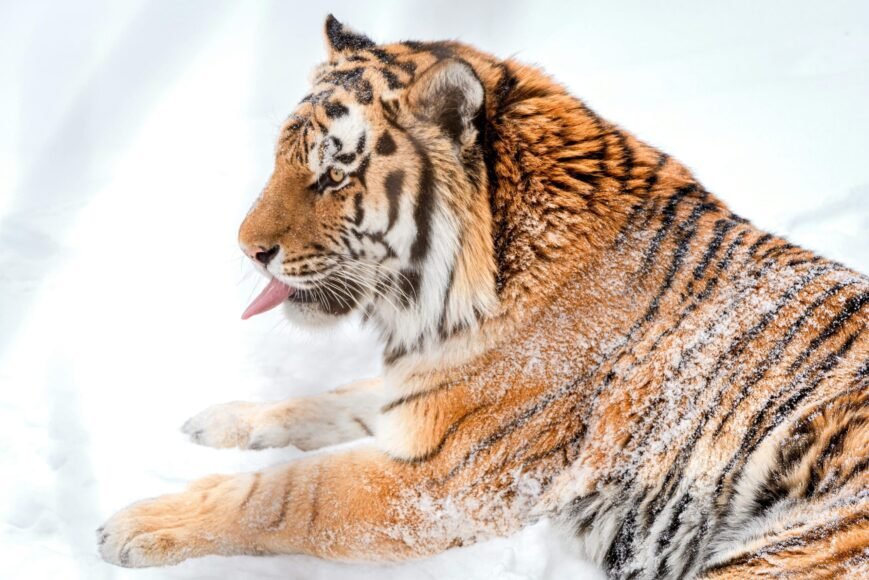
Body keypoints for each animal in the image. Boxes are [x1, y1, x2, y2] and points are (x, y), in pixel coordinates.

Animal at [97, 15, 869, 578]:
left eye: (332, 175)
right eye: (282, 158)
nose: (246, 247)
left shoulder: (446, 481)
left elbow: (289, 495)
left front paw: (137, 525)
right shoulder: (424, 400)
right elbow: (333, 401)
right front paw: (225, 419)